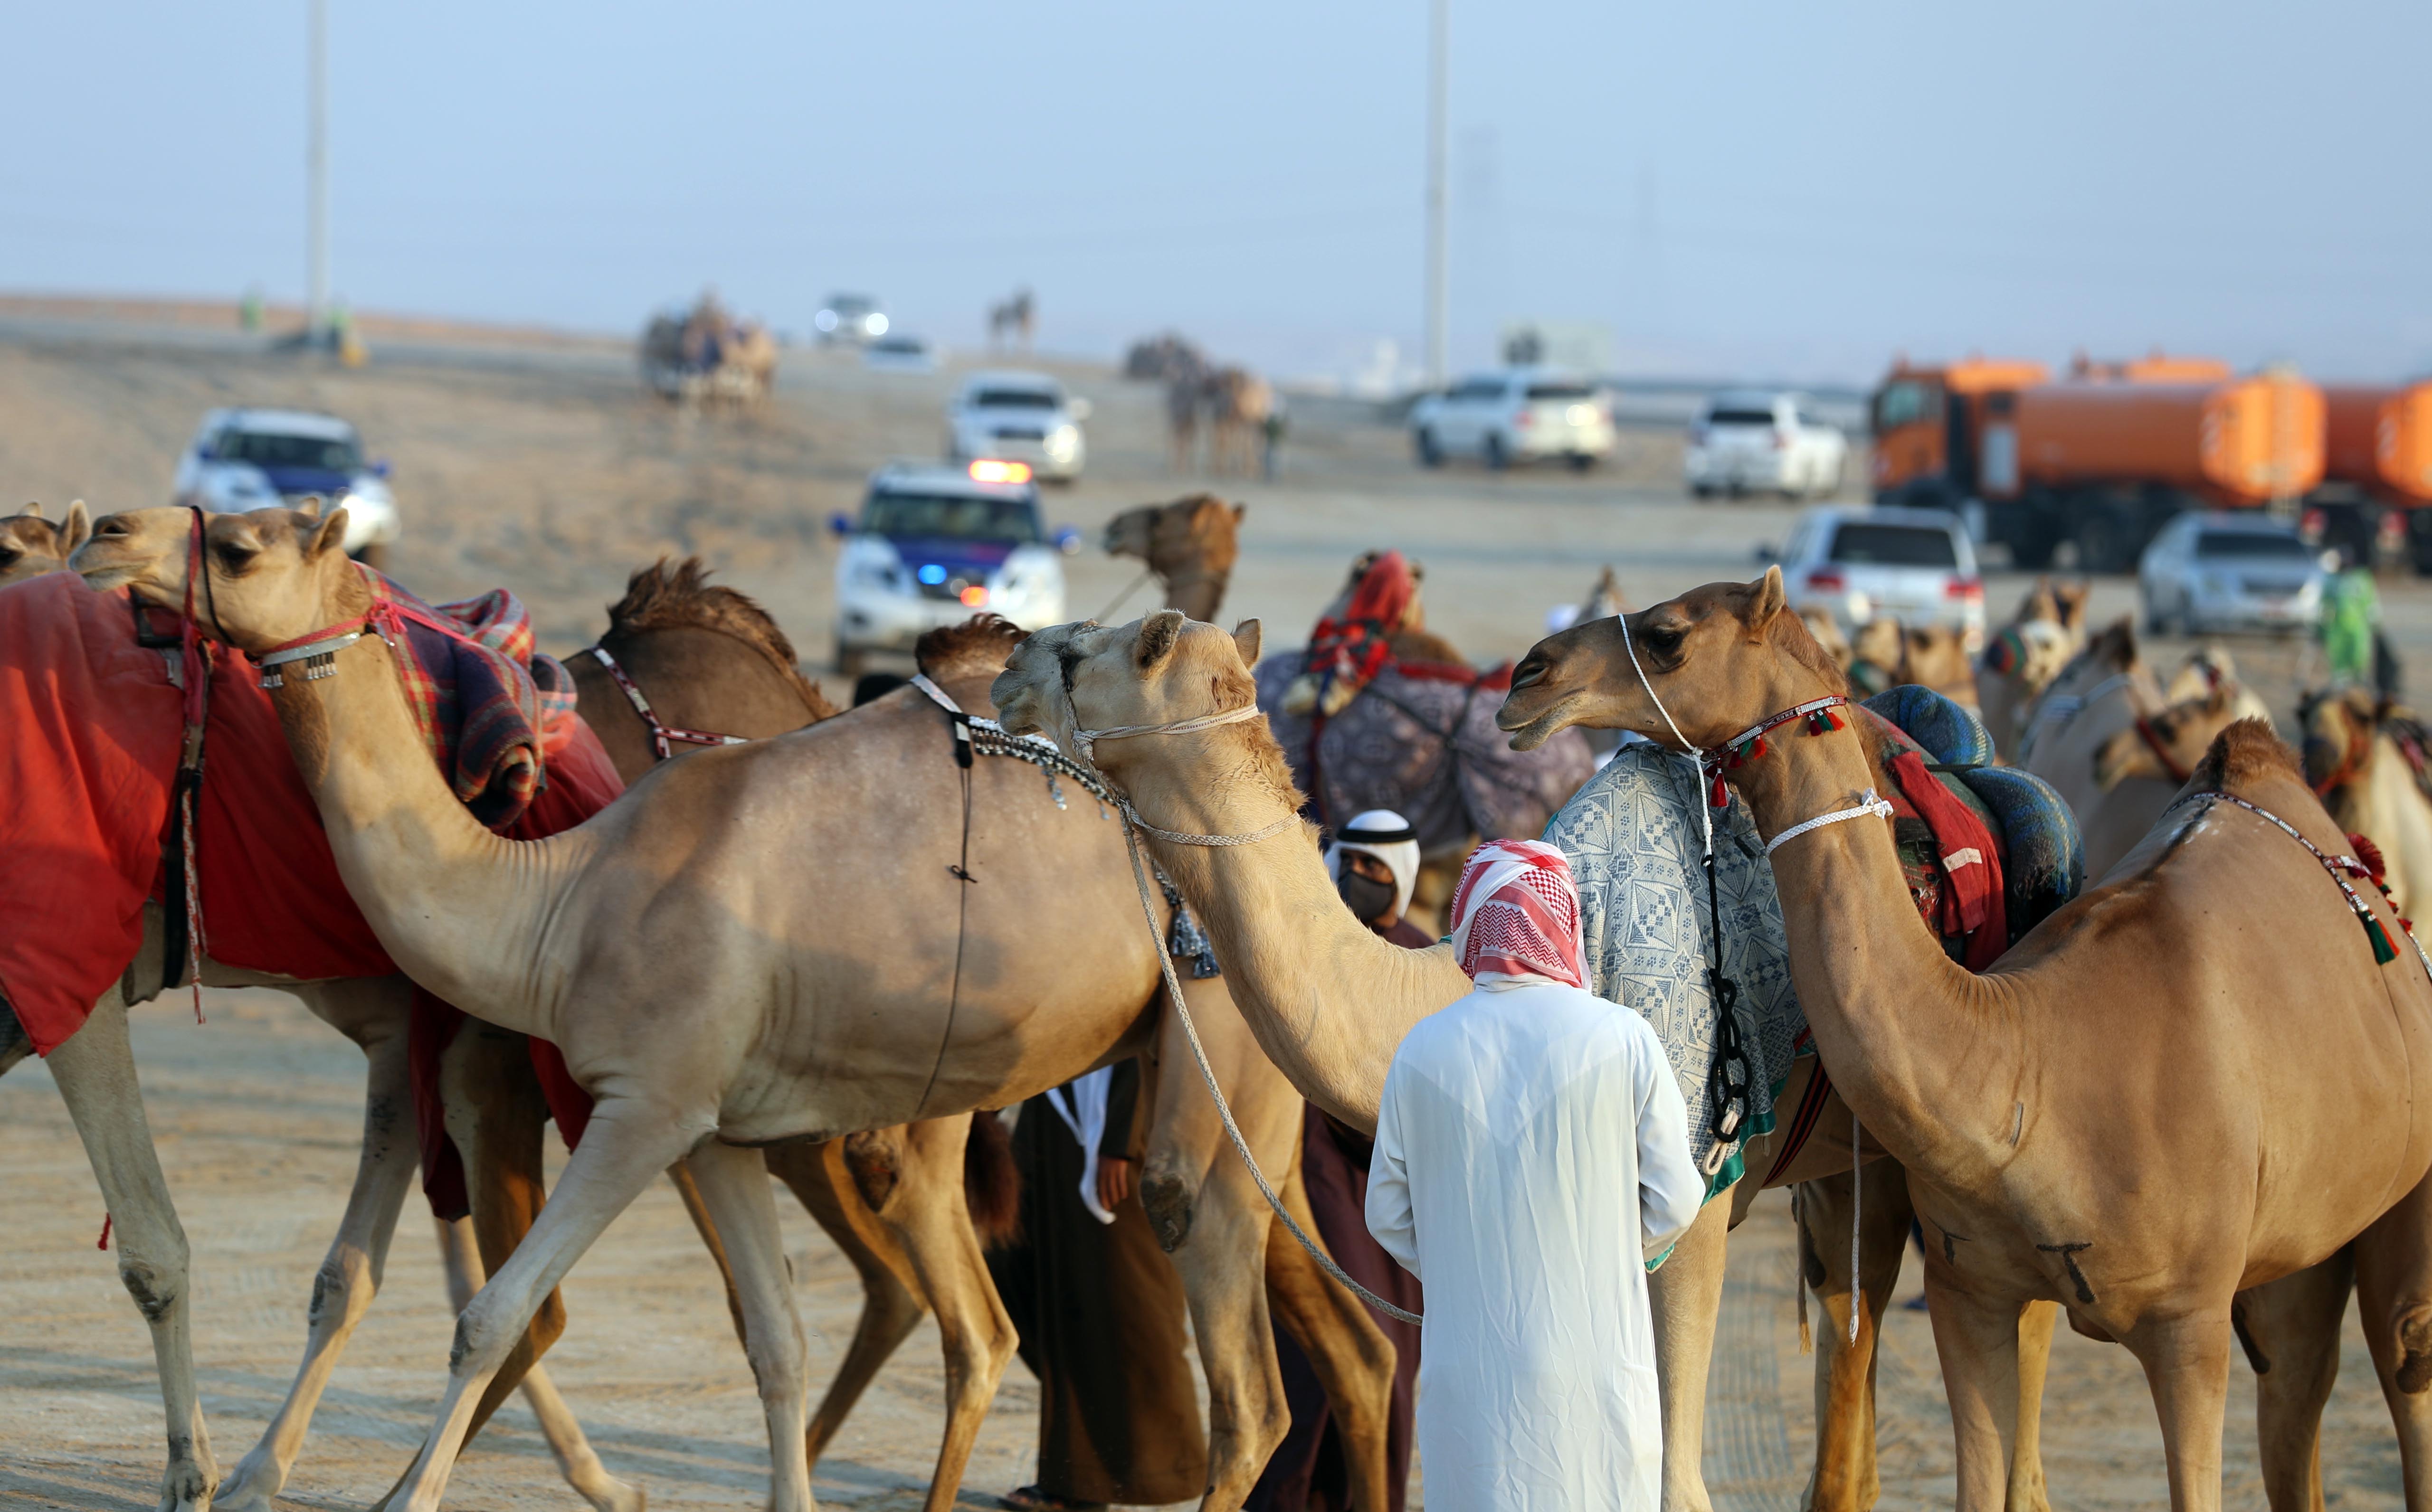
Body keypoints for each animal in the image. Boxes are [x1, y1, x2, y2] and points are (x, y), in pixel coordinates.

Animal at [76, 510, 1401, 1512]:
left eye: (241, 543)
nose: (104, 534)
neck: (558, 897)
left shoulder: (637, 1103)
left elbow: (496, 1312)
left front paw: (386, 1492)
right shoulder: (713, 1131)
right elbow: (771, 1339)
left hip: (1190, 1037)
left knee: (1224, 1371)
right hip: (1240, 1080)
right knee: (1345, 1336)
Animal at [1488, 571, 2432, 1512]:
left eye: (1668, 635)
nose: (1529, 674)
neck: (2033, 1062)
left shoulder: (2187, 1322)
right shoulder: (1966, 1287)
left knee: (2397, 1350)